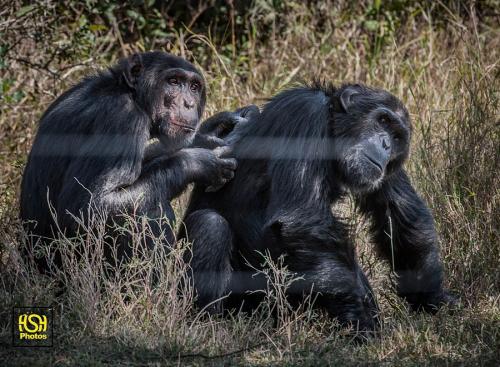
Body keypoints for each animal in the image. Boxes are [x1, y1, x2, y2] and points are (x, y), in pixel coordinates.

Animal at [19, 51, 246, 270]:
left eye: (194, 87)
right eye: (173, 81)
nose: (188, 103)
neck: (131, 95)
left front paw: (206, 135)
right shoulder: (122, 119)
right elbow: (87, 207)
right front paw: (196, 162)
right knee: (148, 211)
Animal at [180, 82, 458, 334]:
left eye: (397, 136)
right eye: (382, 120)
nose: (386, 144)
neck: (331, 127)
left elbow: (400, 214)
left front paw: (432, 298)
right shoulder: (306, 116)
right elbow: (302, 217)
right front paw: (358, 318)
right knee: (210, 225)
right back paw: (208, 324)